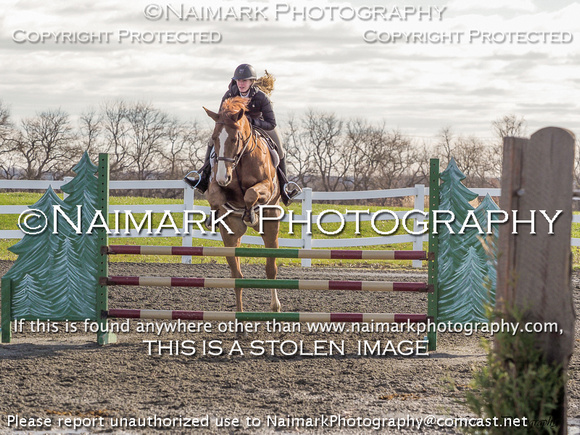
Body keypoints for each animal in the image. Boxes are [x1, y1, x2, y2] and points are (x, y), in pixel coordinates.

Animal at [204, 96, 284, 314]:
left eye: (235, 139)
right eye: (214, 138)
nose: (224, 178)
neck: (238, 162)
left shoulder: (267, 186)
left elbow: (251, 193)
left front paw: (251, 214)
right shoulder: (216, 185)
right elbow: (215, 196)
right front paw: (215, 213)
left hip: (271, 226)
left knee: (271, 270)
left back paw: (275, 306)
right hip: (231, 236)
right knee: (237, 276)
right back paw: (239, 315)